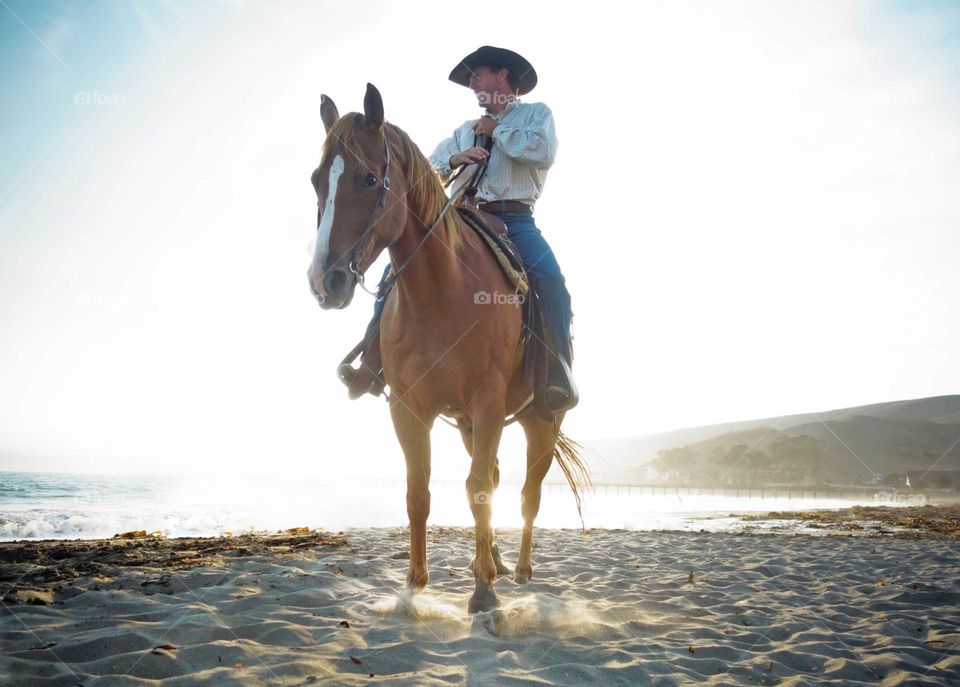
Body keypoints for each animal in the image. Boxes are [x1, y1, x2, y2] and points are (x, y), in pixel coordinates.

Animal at [308, 83, 592, 616]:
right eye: (317, 180)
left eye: (369, 178)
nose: (323, 281)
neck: (441, 291)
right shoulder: (408, 407)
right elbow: (419, 493)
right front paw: (415, 585)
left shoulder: (486, 401)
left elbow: (477, 488)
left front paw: (482, 591)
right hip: (468, 425)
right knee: (497, 478)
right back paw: (495, 560)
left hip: (540, 422)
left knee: (527, 494)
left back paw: (520, 570)